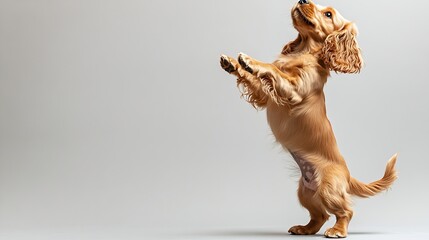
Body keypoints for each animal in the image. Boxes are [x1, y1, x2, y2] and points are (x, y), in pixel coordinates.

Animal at [219, 0, 396, 237]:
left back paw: (337, 231)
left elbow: (272, 68)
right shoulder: (266, 96)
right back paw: (304, 228)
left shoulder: (294, 89)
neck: (303, 51)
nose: (303, 0)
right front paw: (232, 64)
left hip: (328, 189)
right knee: (320, 215)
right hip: (305, 192)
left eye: (328, 14)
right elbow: (255, 78)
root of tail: (348, 176)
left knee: (345, 211)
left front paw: (250, 61)